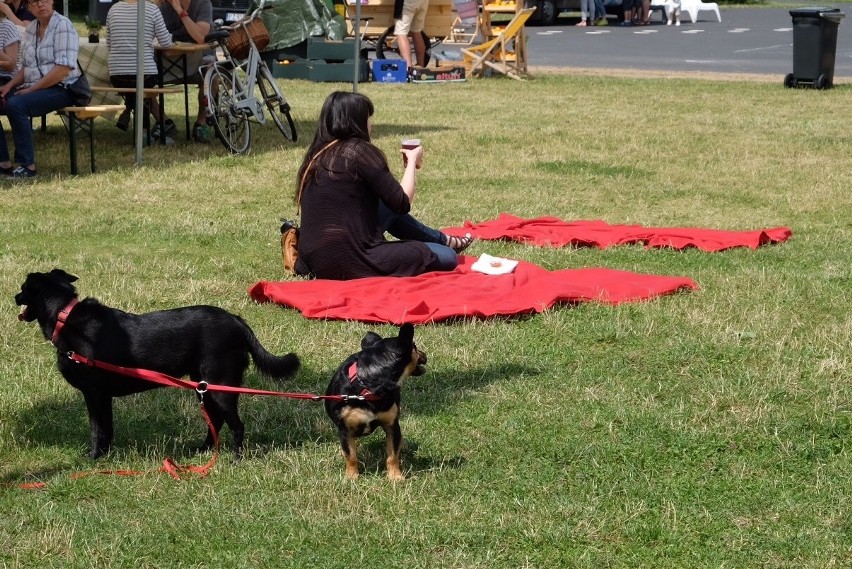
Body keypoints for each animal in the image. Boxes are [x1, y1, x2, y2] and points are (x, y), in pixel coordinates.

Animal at [14, 268, 302, 460]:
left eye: (24, 287)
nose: (14, 297)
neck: (65, 317)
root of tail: (237, 320)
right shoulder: (104, 396)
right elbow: (108, 428)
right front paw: (105, 454)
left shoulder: (93, 394)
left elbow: (96, 428)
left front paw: (92, 456)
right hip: (204, 385)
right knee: (217, 421)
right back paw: (203, 450)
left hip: (221, 384)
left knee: (236, 425)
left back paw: (236, 459)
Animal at [322, 324, 426, 480]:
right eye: (414, 346)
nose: (424, 354)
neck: (368, 386)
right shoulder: (345, 429)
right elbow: (351, 456)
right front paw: (351, 476)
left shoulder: (391, 425)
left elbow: (392, 455)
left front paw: (395, 476)